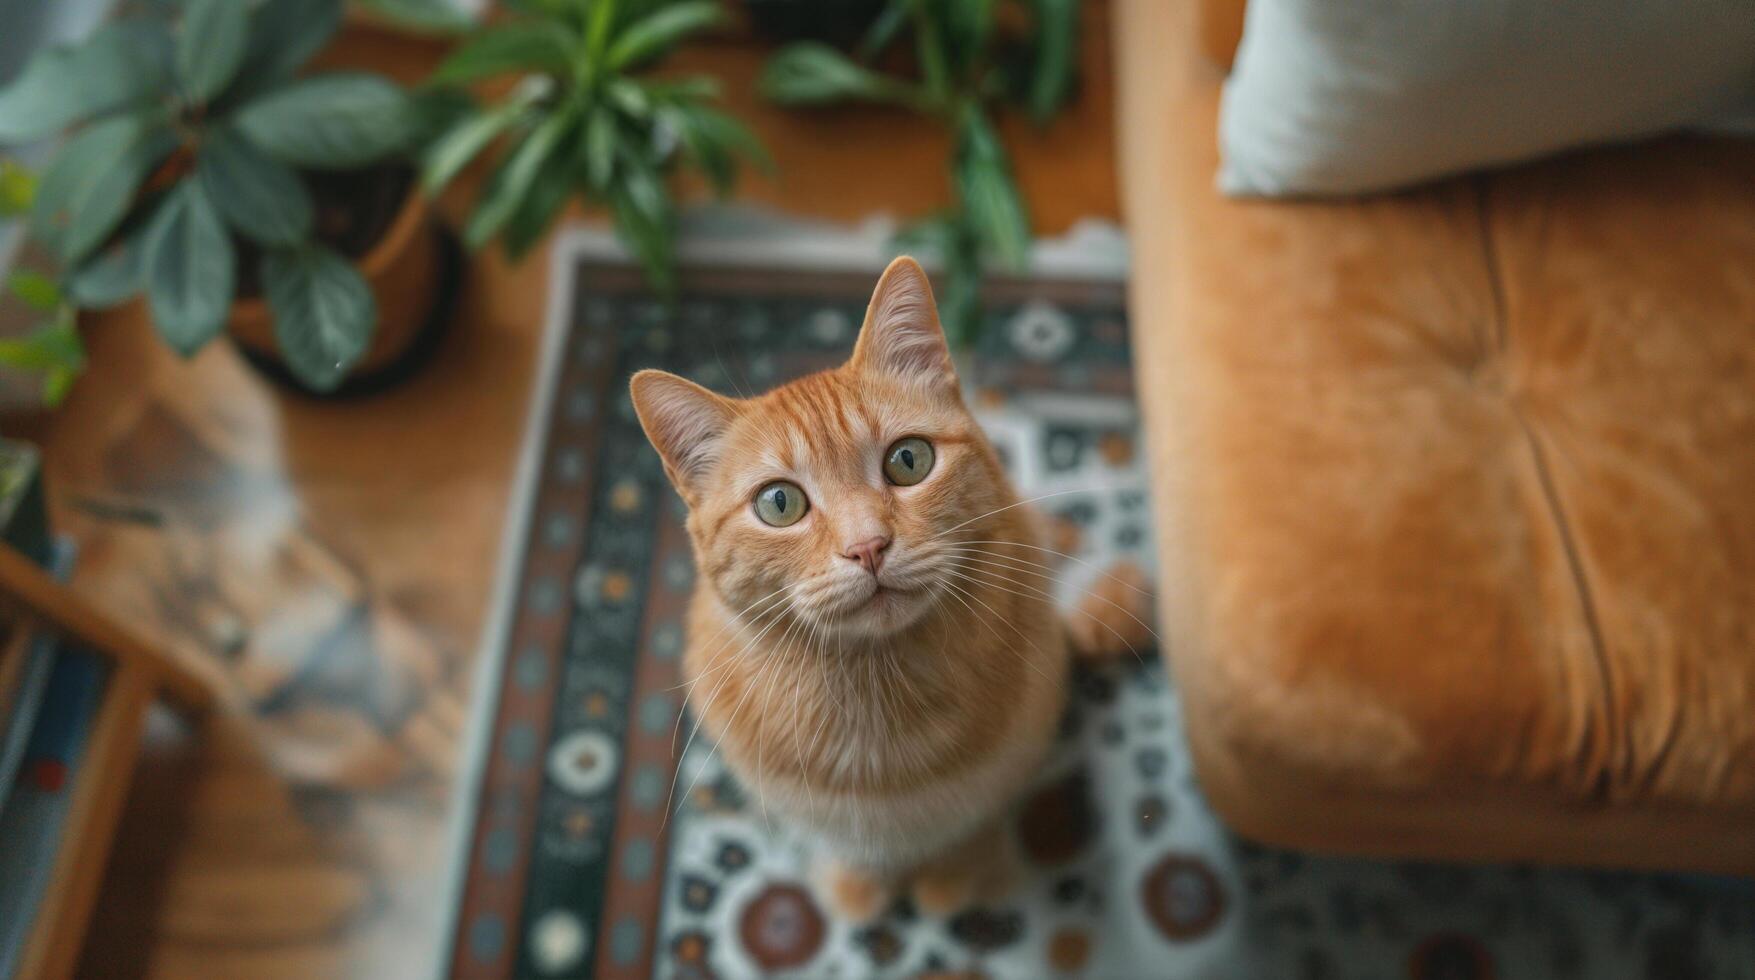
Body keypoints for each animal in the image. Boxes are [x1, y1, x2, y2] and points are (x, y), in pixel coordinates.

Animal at [631, 259, 1095, 920]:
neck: (878, 692)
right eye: (779, 503)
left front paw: (957, 870)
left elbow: (976, 819)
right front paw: (858, 880)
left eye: (908, 460)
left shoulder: (1012, 759)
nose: (868, 546)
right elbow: (842, 837)